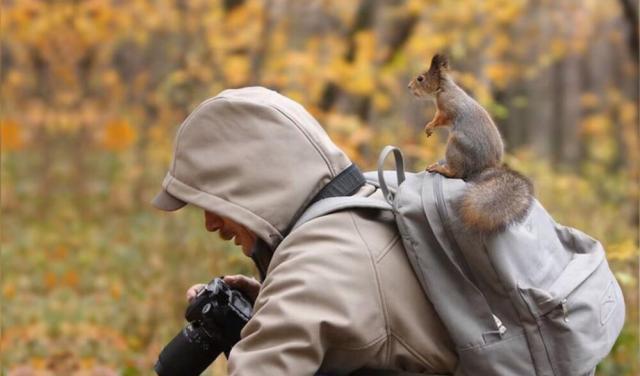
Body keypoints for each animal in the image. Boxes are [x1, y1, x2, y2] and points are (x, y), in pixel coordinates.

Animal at [410, 54, 536, 234]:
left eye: (421, 78)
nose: (409, 87)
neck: (444, 88)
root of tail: (484, 168)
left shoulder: (447, 109)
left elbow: (439, 119)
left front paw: (429, 127)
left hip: (456, 145)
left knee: (456, 173)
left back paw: (440, 168)